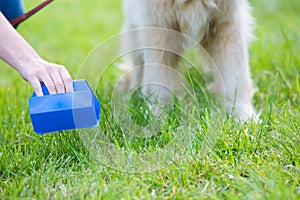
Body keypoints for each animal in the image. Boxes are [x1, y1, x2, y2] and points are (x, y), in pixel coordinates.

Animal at [119, 0, 255, 120]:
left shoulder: (228, 21)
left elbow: (235, 76)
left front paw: (243, 117)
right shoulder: (158, 24)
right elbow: (159, 79)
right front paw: (159, 118)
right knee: (138, 66)